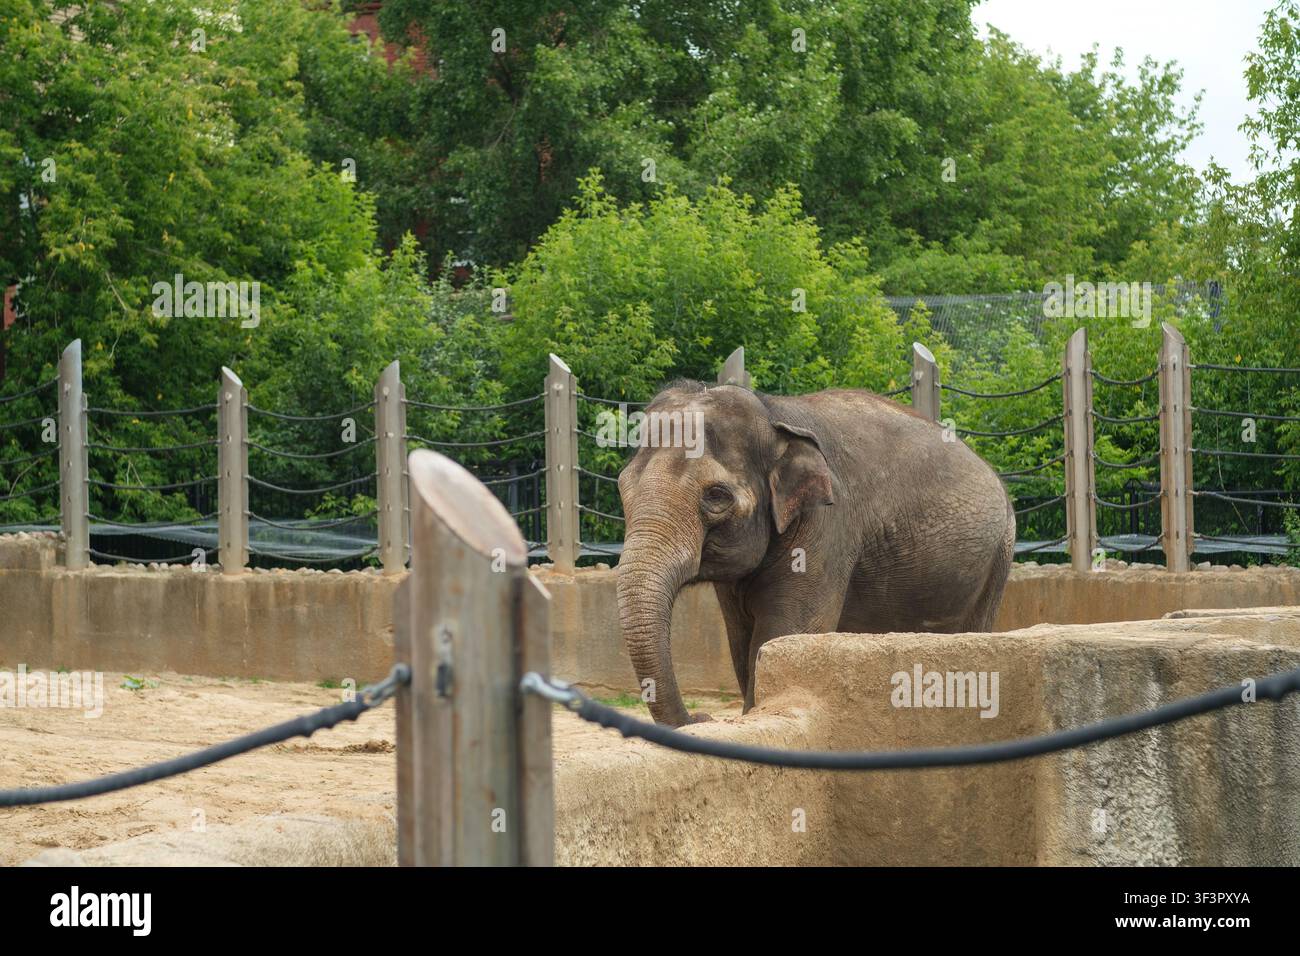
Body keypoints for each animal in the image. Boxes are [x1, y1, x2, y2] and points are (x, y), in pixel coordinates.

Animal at [616, 379, 1016, 727]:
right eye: (622, 486)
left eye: (716, 495)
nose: (702, 717)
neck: (772, 412)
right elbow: (742, 643)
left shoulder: (827, 524)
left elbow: (780, 636)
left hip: (998, 557)